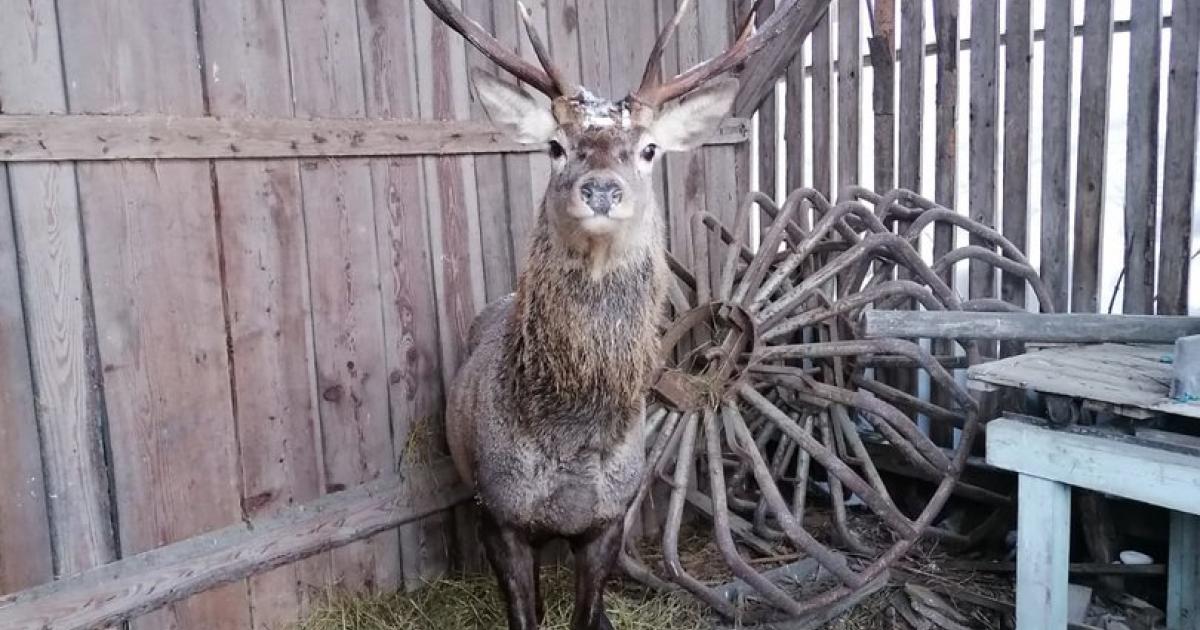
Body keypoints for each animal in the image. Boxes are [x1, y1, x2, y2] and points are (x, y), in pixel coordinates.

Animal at [424, 0, 796, 624]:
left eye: (648, 149)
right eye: (555, 146)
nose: (601, 189)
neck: (572, 442)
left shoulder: (609, 518)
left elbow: (587, 613)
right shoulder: (497, 512)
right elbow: (524, 612)